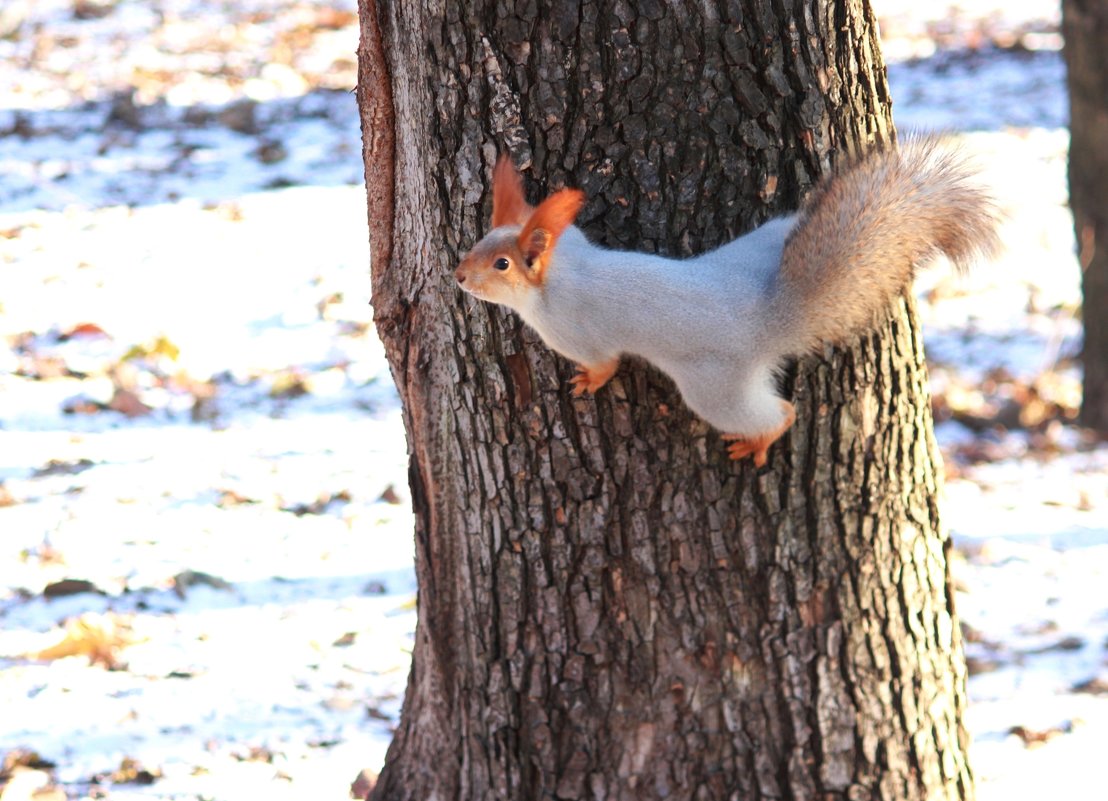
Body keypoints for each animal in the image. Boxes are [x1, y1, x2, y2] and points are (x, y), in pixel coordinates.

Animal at [454, 136, 1001, 463]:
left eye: (501, 265)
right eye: (478, 242)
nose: (459, 276)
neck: (562, 273)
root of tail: (768, 315)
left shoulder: (576, 333)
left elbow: (605, 363)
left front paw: (589, 382)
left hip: (714, 389)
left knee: (780, 413)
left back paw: (760, 439)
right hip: (767, 242)